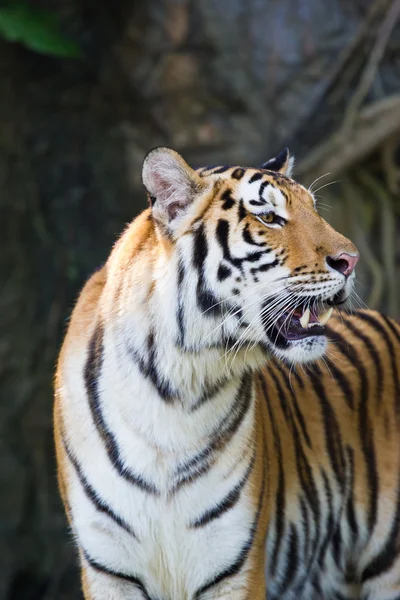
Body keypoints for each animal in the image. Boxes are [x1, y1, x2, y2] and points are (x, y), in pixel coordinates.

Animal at [54, 146, 400, 600]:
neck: (174, 390)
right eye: (269, 217)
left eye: (313, 208)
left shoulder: (234, 563)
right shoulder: (108, 569)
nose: (351, 260)